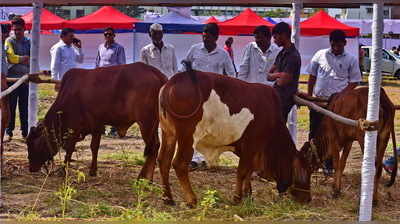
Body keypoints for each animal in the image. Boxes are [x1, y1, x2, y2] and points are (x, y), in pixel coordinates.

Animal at [26, 62, 167, 178]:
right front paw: (93, 170)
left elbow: (71, 149)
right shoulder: (96, 126)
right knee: (156, 146)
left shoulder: (77, 129)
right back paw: (149, 178)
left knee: (153, 147)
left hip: (146, 123)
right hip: (153, 124)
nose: (31, 168)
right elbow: (94, 147)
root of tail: (156, 73)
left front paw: (64, 170)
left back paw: (143, 176)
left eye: (32, 144)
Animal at [157, 60, 312, 206]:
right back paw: (191, 199)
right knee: (179, 164)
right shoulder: (251, 145)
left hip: (168, 133)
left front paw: (248, 194)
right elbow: (242, 172)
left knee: (164, 161)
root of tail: (171, 83)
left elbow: (249, 170)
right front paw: (237, 197)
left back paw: (168, 198)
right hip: (188, 136)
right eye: (305, 171)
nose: (307, 199)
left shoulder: (250, 149)